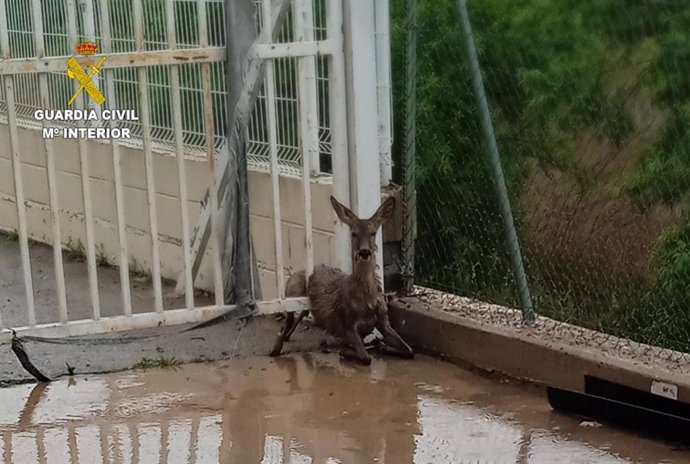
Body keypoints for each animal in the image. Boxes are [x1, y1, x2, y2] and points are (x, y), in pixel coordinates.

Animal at [268, 194, 408, 364]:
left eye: (373, 233)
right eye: (354, 233)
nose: (364, 252)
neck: (367, 297)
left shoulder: (383, 320)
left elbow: (409, 350)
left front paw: (382, 347)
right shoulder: (347, 324)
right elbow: (366, 357)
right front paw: (344, 350)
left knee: (300, 315)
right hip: (292, 290)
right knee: (286, 320)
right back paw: (275, 349)